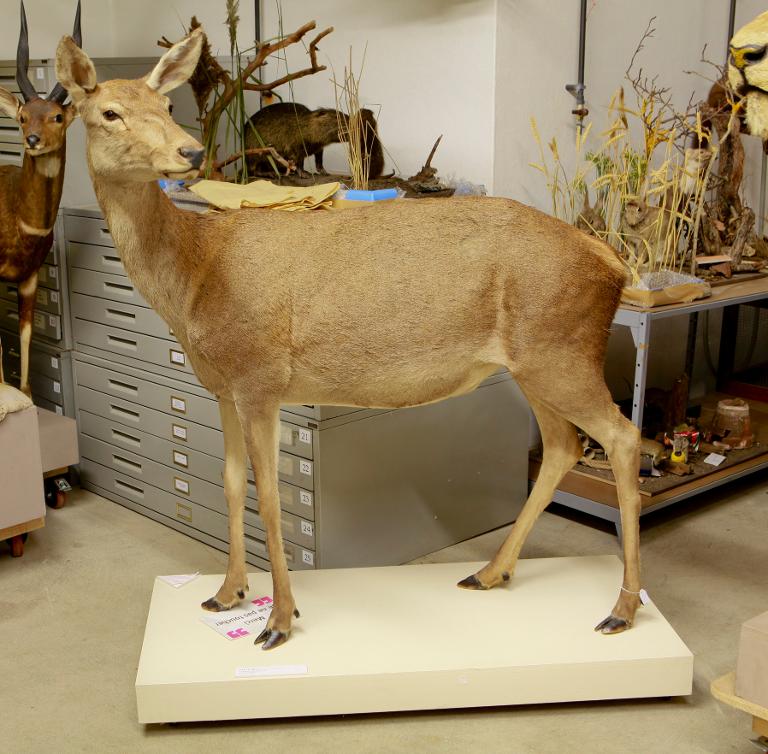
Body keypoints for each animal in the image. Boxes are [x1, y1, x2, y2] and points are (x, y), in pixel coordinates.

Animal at [55, 28, 643, 651]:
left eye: (167, 106)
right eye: (109, 112)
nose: (190, 152)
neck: (197, 273)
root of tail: (614, 265)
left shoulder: (261, 377)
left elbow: (270, 499)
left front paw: (279, 621)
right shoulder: (222, 386)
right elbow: (231, 484)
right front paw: (226, 593)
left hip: (563, 351)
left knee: (623, 437)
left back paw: (621, 609)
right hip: (535, 362)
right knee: (563, 445)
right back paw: (489, 572)